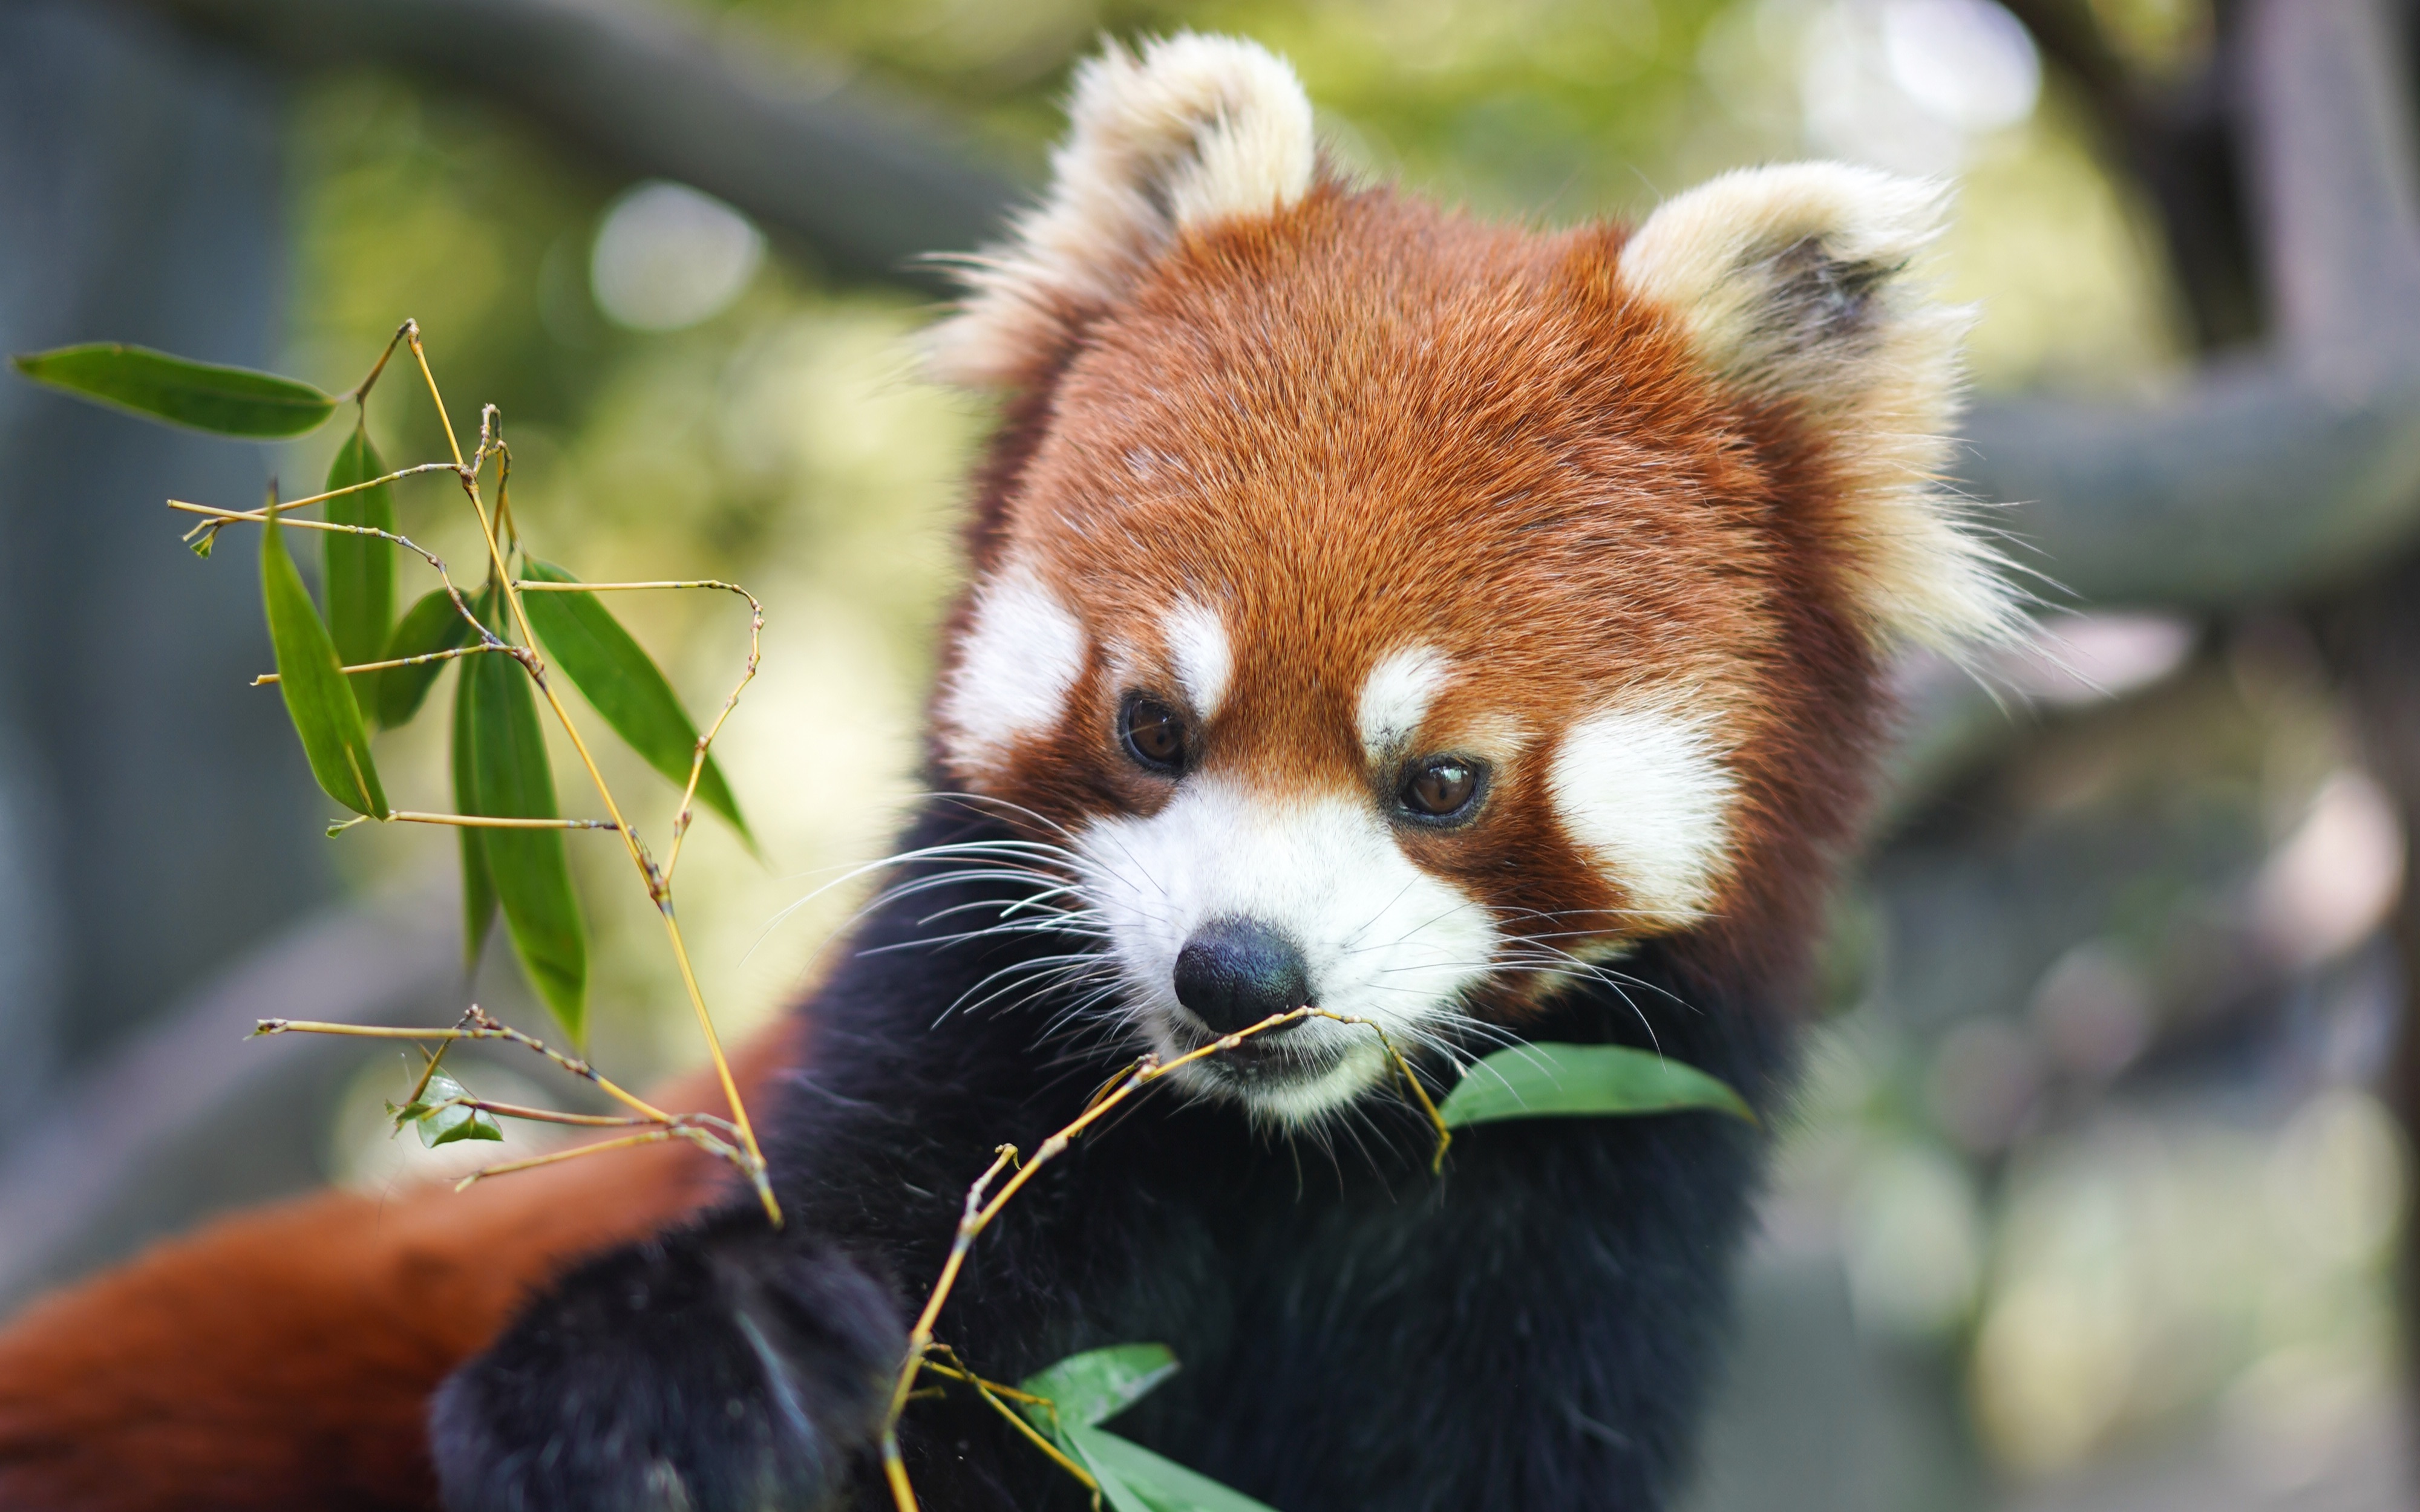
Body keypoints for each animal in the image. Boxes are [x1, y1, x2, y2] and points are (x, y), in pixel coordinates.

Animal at [0, 35, 2013, 1510]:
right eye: (1151, 724)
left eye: (1439, 779)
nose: (1236, 973)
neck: (1283, 1167)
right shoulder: (945, 1089)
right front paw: (675, 1372)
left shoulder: (1577, 1224)